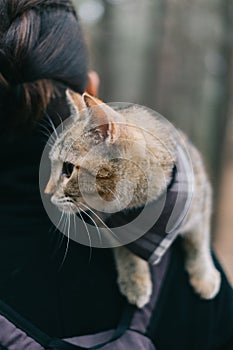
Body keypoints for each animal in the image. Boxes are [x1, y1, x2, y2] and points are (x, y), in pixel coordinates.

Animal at [44, 91, 221, 308]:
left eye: (68, 169)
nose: (47, 192)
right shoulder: (105, 220)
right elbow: (125, 249)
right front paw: (135, 279)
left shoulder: (202, 195)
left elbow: (199, 240)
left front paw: (204, 275)